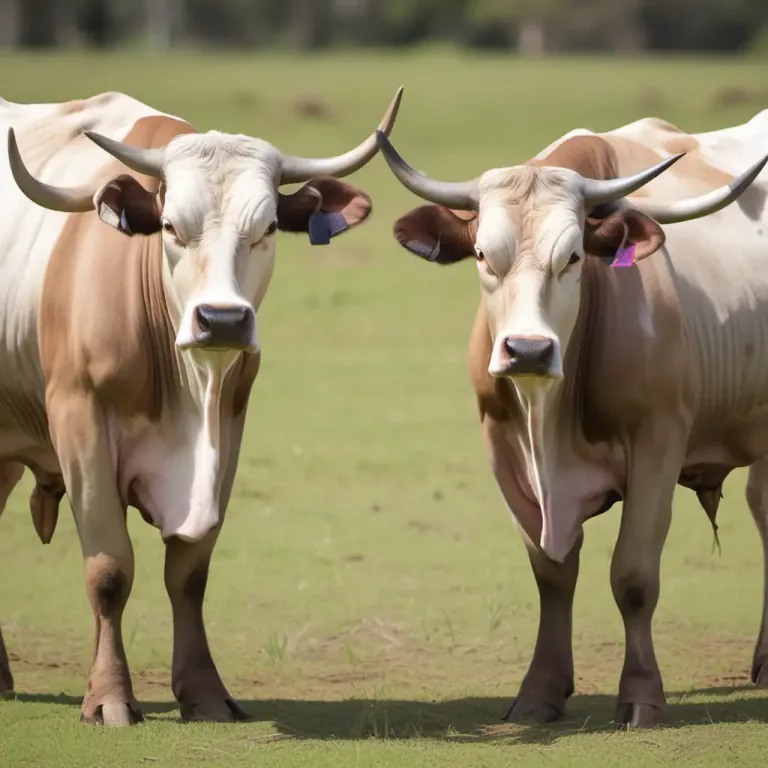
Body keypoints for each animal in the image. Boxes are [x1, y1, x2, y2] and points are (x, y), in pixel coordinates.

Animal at [0, 87, 402, 726]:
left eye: (268, 227)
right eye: (169, 226)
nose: (223, 319)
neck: (188, 393)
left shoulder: (229, 430)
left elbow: (188, 574)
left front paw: (205, 693)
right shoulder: (79, 424)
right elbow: (109, 570)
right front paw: (109, 698)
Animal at [374, 111, 768, 727]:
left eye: (575, 258)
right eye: (482, 255)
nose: (528, 350)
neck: (550, 423)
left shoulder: (658, 442)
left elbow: (633, 576)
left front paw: (641, 697)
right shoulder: (502, 447)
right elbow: (551, 572)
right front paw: (539, 692)